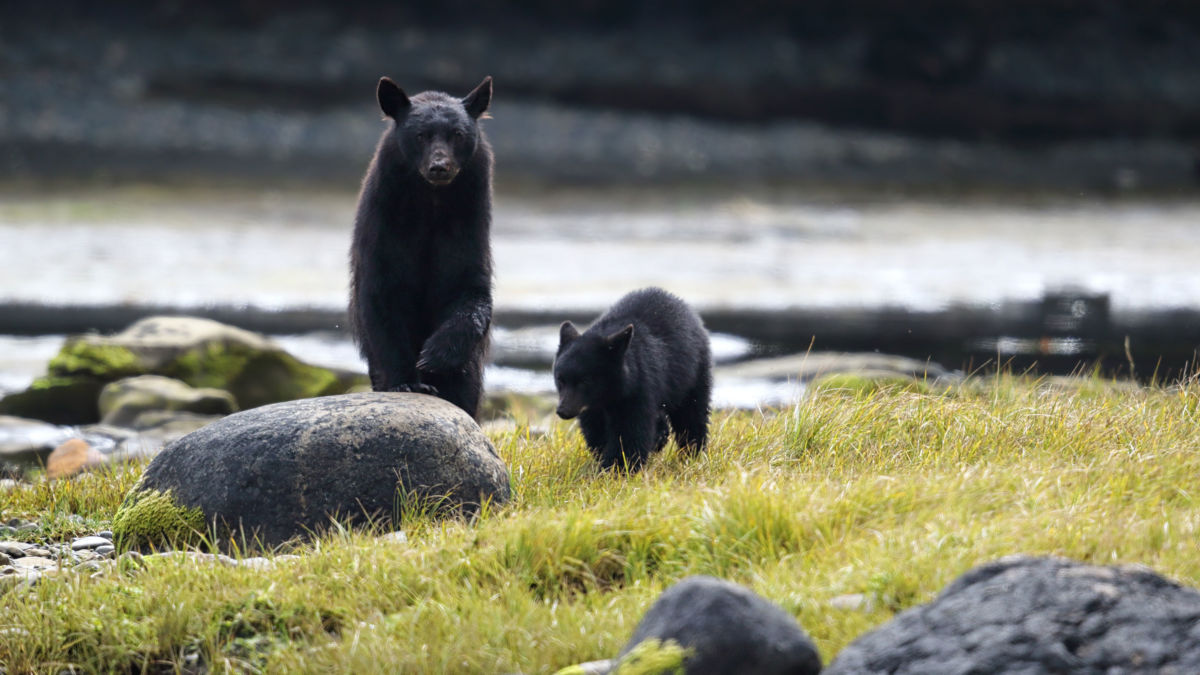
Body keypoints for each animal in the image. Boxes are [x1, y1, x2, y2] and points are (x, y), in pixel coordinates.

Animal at [350, 74, 494, 415]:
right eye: (420, 135)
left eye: (458, 134)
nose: (439, 167)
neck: (431, 203)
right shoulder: (386, 226)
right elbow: (383, 299)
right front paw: (407, 381)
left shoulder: (467, 226)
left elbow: (470, 290)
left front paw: (436, 355)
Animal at [554, 283, 710, 468]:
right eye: (560, 380)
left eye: (585, 380)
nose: (563, 410)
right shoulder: (590, 405)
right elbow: (596, 429)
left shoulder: (639, 387)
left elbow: (630, 431)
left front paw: (617, 467)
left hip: (693, 374)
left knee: (692, 414)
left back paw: (692, 453)